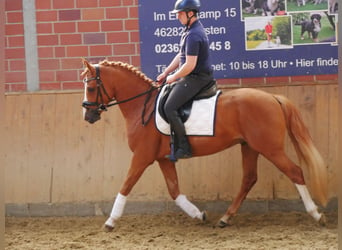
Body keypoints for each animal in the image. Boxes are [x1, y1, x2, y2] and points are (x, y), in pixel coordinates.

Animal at [81, 59, 328, 231]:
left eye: (91, 88)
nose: (88, 116)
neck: (144, 105)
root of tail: (274, 98)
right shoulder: (163, 159)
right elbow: (174, 191)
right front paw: (199, 215)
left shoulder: (142, 157)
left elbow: (126, 185)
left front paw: (110, 221)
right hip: (249, 146)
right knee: (249, 178)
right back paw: (225, 218)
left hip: (270, 148)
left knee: (295, 172)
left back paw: (316, 215)